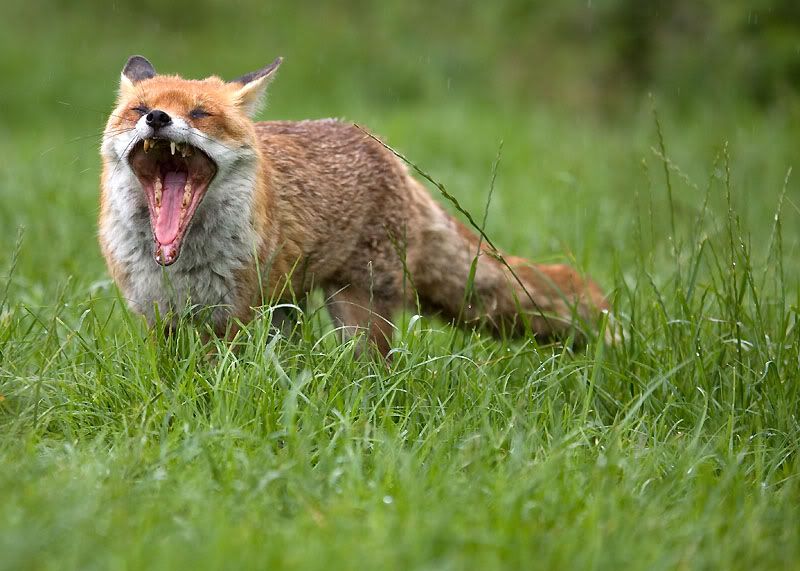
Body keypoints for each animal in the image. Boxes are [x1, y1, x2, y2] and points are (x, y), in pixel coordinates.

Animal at [99, 55, 610, 357]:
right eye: (139, 108)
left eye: (200, 113)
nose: (157, 118)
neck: (180, 262)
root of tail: (385, 152)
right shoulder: (157, 315)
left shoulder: (232, 317)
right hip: (288, 306)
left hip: (356, 308)